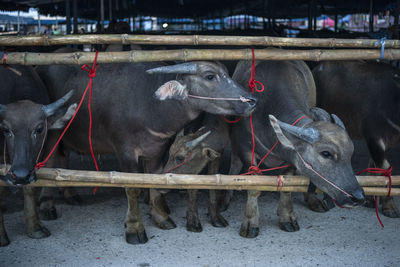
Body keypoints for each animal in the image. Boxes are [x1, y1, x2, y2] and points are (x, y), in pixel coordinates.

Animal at [0, 66, 76, 248]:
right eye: (6, 130)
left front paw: (34, 227)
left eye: (39, 129)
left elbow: (31, 187)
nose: (20, 175)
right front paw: (1, 236)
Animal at [36, 60, 256, 245]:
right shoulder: (125, 153)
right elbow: (132, 188)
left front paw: (161, 218)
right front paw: (134, 228)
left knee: (61, 158)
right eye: (210, 76)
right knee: (48, 162)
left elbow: (154, 179)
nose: (251, 100)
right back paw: (47, 207)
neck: (150, 105)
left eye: (227, 73)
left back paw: (71, 196)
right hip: (51, 134)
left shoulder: (156, 151)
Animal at [230, 60, 364, 239]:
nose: (358, 197)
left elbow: (288, 187)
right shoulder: (246, 151)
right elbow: (253, 187)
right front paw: (250, 224)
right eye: (326, 153)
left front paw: (287, 218)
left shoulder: (291, 160)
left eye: (350, 153)